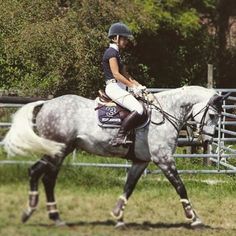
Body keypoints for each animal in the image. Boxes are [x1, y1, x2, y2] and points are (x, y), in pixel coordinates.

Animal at [2, 85, 227, 227]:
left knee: (38, 173)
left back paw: (34, 212)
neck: (164, 114)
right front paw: (194, 217)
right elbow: (180, 186)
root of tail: (46, 104)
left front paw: (117, 217)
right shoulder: (163, 159)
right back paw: (52, 217)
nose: (207, 141)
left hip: (58, 151)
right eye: (212, 115)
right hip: (58, 151)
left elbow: (128, 187)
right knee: (47, 178)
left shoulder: (141, 162)